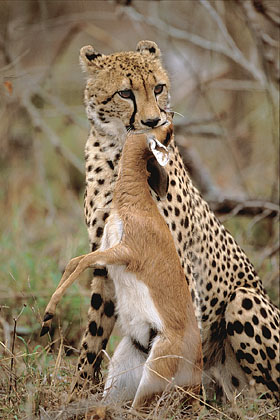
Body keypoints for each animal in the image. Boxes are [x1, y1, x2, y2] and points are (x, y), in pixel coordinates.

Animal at [69, 41, 278, 402]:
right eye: (125, 92)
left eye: (158, 87)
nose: (153, 120)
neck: (122, 156)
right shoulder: (105, 256)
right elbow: (93, 334)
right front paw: (77, 395)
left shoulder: (178, 262)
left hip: (243, 298)